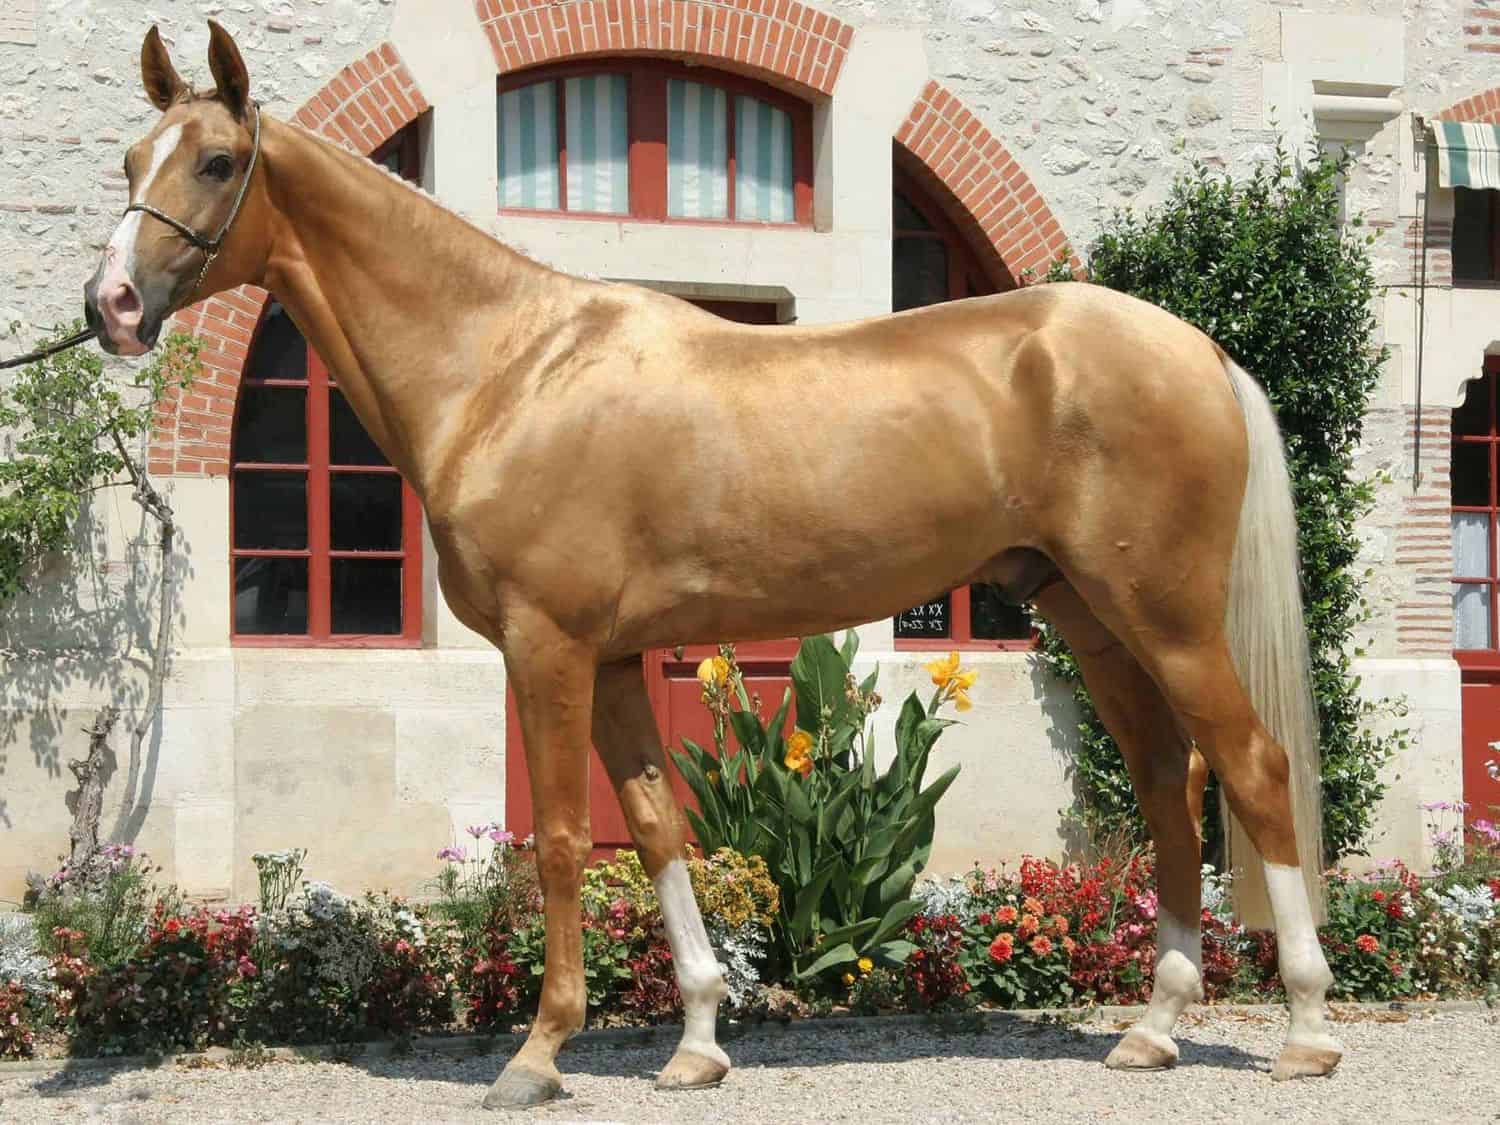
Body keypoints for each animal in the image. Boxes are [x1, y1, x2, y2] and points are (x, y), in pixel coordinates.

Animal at [83, 21, 1342, 1108]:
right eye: (132, 158)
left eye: (215, 160)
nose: (113, 306)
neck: (508, 369)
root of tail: (1199, 349)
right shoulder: (612, 660)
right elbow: (653, 831)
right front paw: (695, 1042)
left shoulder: (549, 649)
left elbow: (557, 844)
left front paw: (538, 1055)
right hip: (1088, 614)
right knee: (1171, 783)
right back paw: (1153, 1029)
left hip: (1165, 614)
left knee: (1252, 766)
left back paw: (1308, 1028)